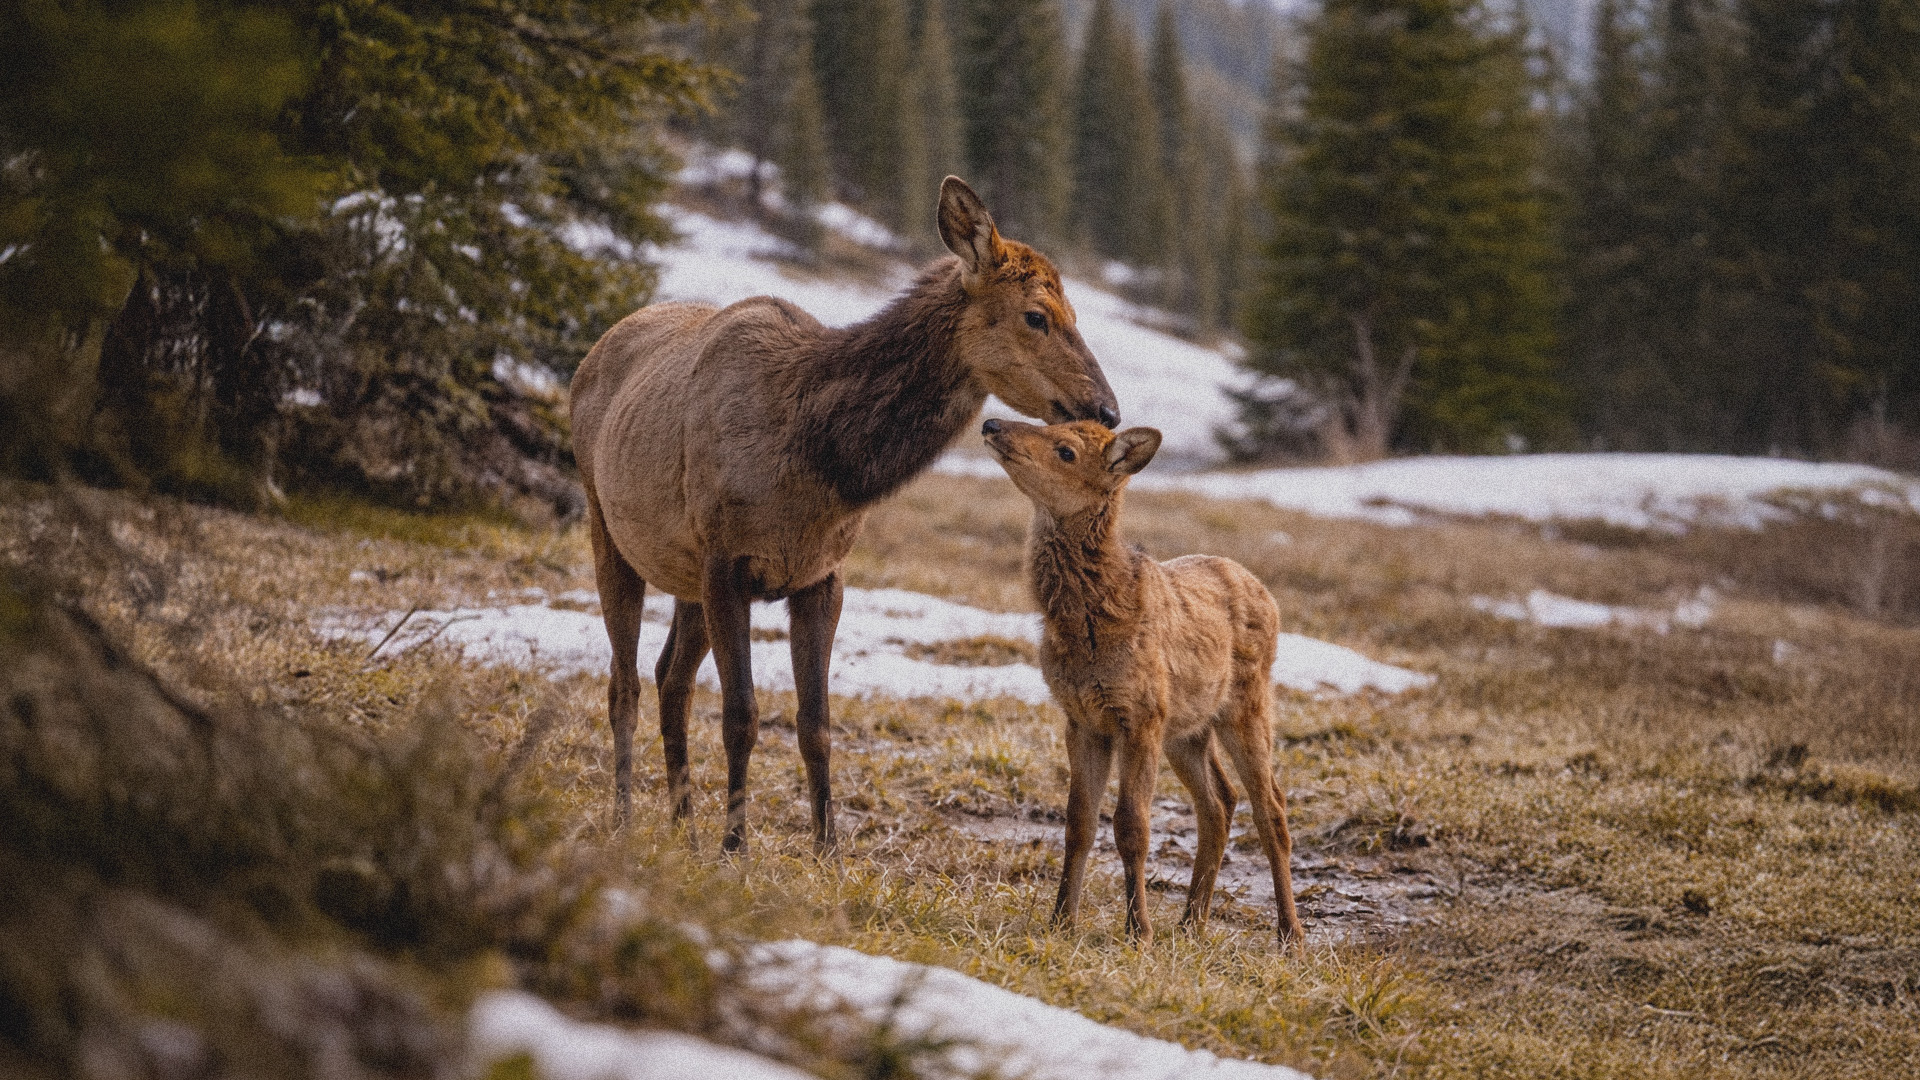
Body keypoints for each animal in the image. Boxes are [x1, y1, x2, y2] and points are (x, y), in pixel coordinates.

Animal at [570, 178, 1119, 853]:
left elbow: (817, 724)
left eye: (1075, 314)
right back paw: (625, 819)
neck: (820, 458)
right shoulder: (728, 563)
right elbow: (743, 716)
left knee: (671, 679)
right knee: (624, 684)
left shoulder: (821, 575)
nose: (1107, 408)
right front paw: (735, 848)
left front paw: (826, 848)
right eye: (1036, 315)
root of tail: (590, 356)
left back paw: (684, 828)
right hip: (606, 522)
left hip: (684, 572)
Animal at [981, 417, 1306, 947]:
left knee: (1271, 807)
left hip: (1246, 704)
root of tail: (1268, 596)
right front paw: (1061, 921)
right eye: (1054, 423)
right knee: (1219, 802)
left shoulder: (1140, 715)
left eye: (1066, 450)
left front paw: (1139, 931)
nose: (991, 424)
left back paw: (1290, 936)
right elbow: (1078, 823)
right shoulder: (1082, 718)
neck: (1090, 618)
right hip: (1188, 728)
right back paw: (1192, 921)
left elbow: (1132, 826)